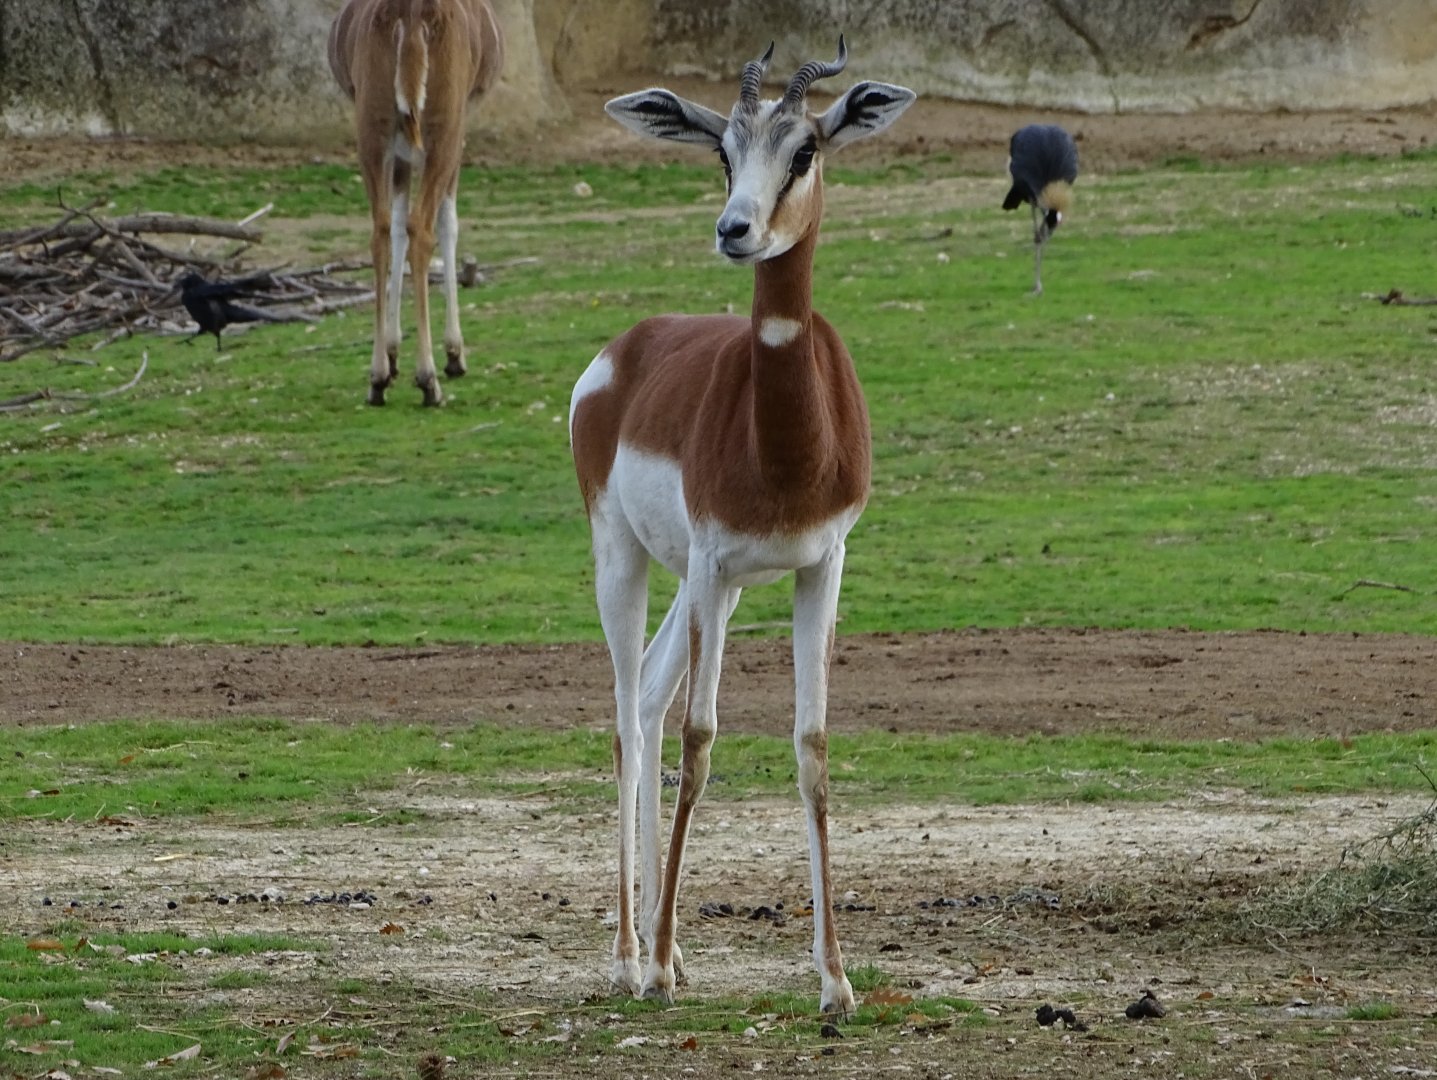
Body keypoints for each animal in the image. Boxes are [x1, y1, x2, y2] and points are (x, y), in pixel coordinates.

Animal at [328, 0, 503, 405]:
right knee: (423, 228)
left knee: (380, 231)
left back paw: (378, 378)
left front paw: (392, 356)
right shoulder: (458, 125)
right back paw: (430, 380)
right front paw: (454, 355)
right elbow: (447, 223)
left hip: (372, 128)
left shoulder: (399, 146)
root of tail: (408, 15)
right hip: (442, 129)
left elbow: (395, 224)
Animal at [569, 40, 915, 1017]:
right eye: (722, 152)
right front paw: (653, 967)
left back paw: (669, 948)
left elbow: (811, 744)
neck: (786, 446)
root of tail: (624, 349)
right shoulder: (717, 561)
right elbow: (700, 739)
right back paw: (629, 956)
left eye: (805, 149)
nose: (734, 230)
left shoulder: (820, 564)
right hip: (631, 562)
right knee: (627, 718)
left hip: (698, 588)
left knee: (649, 699)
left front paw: (835, 979)